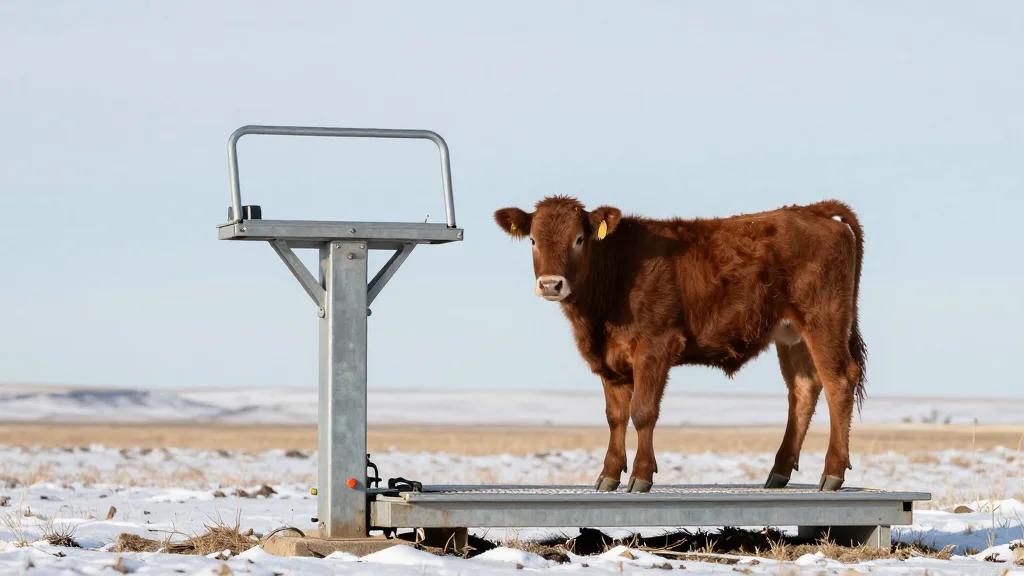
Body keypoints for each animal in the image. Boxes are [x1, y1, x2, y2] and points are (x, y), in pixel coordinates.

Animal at [494, 196, 866, 493]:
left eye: (579, 239)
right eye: (533, 240)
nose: (550, 284)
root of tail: (812, 209)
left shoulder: (655, 346)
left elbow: (643, 412)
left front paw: (641, 476)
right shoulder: (611, 359)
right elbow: (615, 416)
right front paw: (608, 475)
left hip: (824, 320)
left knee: (838, 382)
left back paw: (832, 473)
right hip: (791, 334)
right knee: (803, 389)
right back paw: (779, 472)